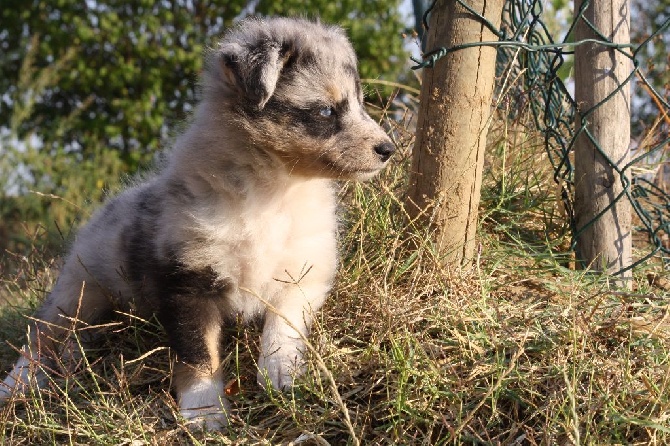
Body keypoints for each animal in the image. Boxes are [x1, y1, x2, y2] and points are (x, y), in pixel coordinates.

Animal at [0, 17, 396, 428]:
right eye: (326, 111)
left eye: (360, 102)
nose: (389, 149)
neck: (273, 191)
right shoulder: (189, 279)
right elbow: (198, 354)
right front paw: (205, 412)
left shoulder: (302, 273)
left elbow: (283, 328)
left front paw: (281, 377)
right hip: (78, 290)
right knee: (41, 336)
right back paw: (16, 386)